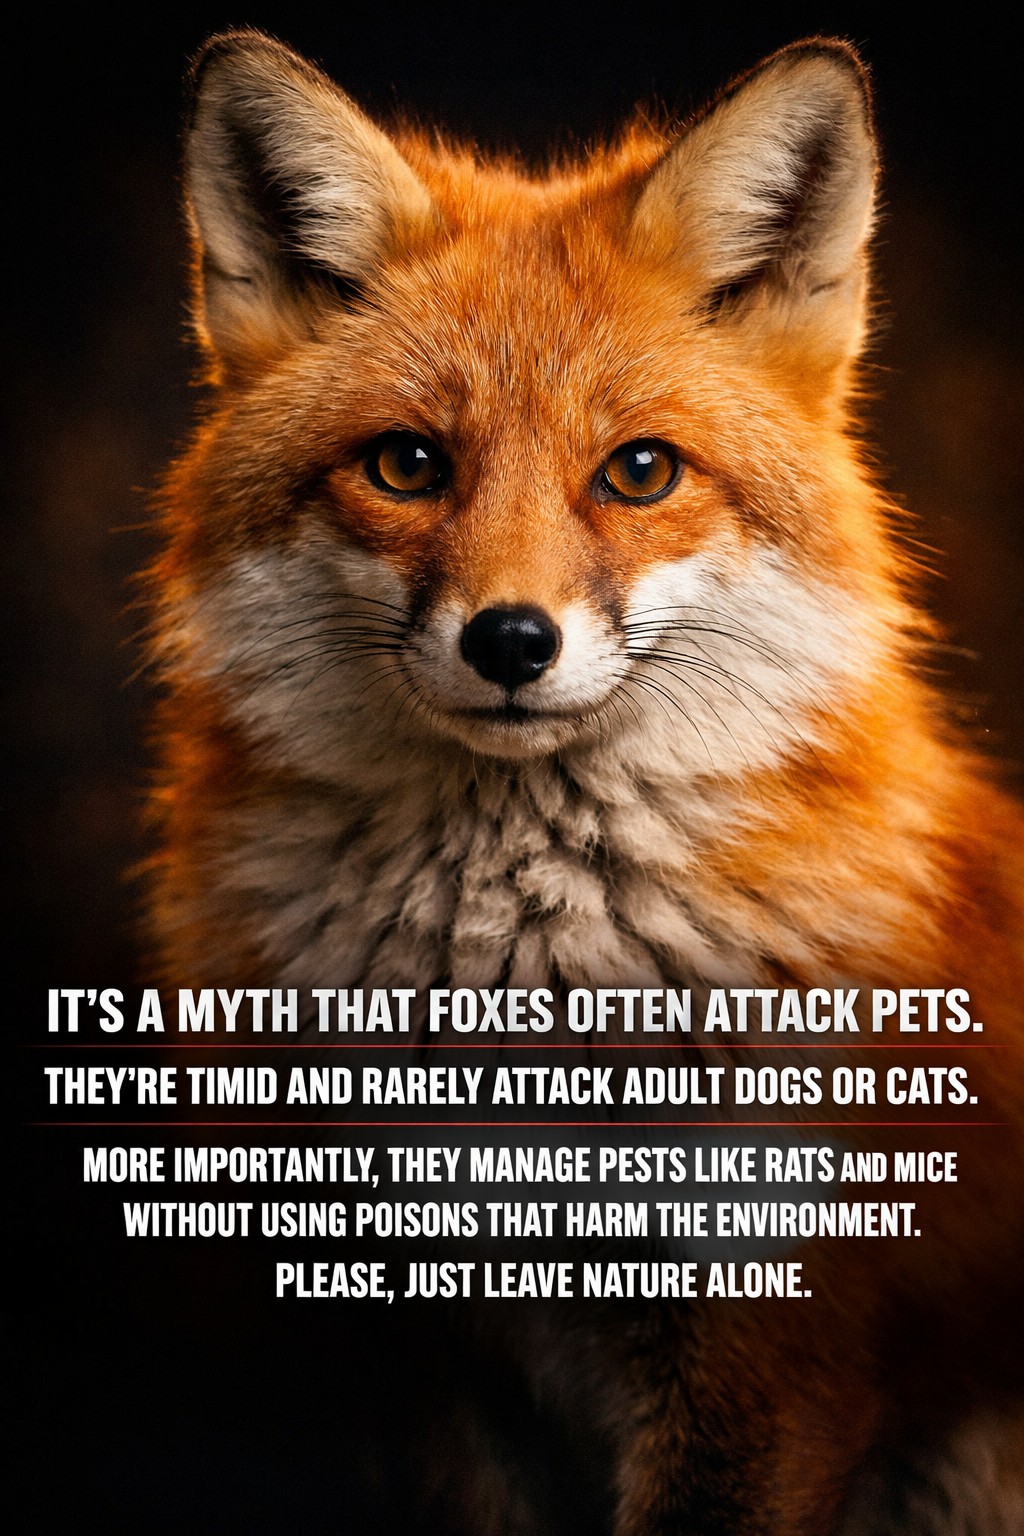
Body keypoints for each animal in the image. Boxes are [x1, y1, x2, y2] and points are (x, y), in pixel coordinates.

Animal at [147, 29, 1024, 1536]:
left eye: (640, 472)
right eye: (407, 463)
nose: (511, 641)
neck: (527, 996)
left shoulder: (759, 1356)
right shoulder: (428, 1352)